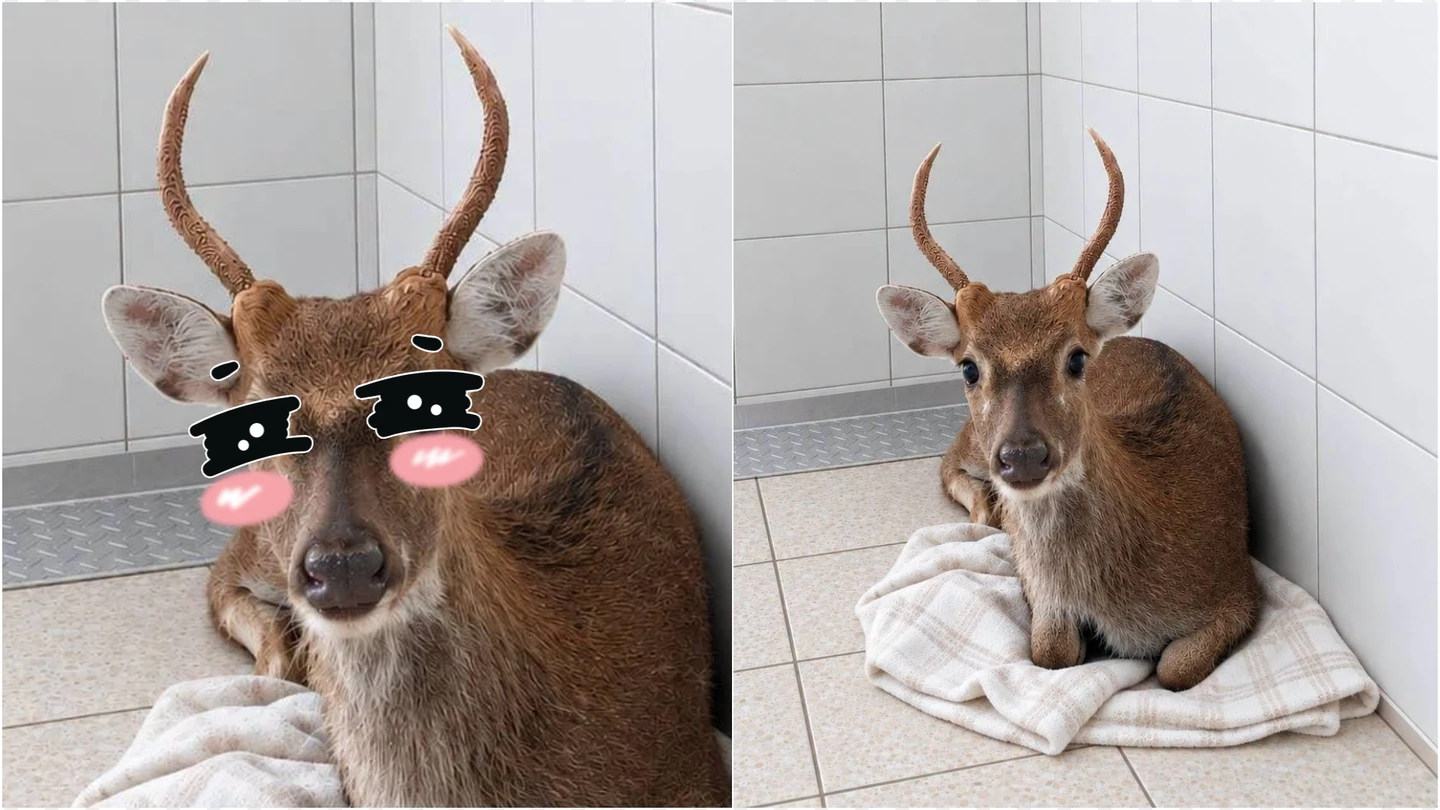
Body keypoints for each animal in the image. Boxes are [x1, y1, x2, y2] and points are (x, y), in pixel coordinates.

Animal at [875, 129, 1259, 692]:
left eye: (1076, 357)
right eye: (968, 367)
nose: (1022, 457)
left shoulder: (1238, 584)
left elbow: (1174, 668)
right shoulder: (1046, 602)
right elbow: (1050, 652)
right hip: (973, 443)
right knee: (946, 464)